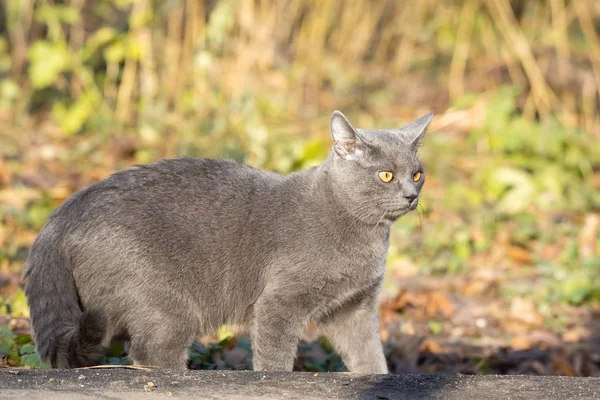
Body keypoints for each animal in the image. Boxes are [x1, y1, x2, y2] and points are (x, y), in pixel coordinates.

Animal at [22, 110, 432, 372]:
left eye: (417, 174)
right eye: (385, 175)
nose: (411, 195)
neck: (367, 235)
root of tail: (62, 215)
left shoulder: (353, 308)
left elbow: (369, 358)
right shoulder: (280, 304)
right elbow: (274, 361)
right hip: (163, 303)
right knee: (150, 355)